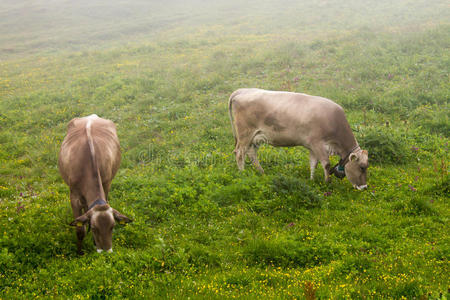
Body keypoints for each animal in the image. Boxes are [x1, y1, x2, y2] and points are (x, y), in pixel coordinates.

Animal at [59, 113, 131, 254]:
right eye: (94, 228)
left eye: (112, 226)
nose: (106, 251)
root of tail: (91, 116)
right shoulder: (74, 196)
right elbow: (79, 229)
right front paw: (80, 253)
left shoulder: (106, 184)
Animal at [229, 88, 370, 190]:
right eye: (362, 167)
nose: (364, 187)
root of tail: (242, 90)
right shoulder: (318, 144)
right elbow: (326, 164)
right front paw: (327, 182)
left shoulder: (312, 146)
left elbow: (313, 163)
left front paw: (312, 180)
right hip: (245, 134)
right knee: (240, 153)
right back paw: (242, 174)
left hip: (255, 137)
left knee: (252, 154)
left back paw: (262, 172)